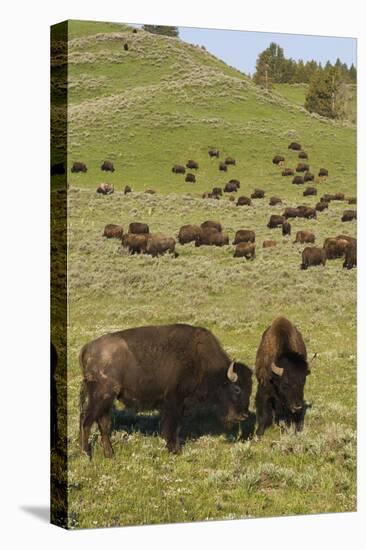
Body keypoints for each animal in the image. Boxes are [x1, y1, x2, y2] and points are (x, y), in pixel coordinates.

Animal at [78, 326, 253, 460]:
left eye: (251, 389)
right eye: (237, 389)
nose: (244, 415)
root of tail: (86, 348)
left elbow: (175, 427)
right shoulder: (174, 402)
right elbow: (172, 426)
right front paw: (175, 450)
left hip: (106, 401)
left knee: (102, 423)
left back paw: (109, 455)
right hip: (101, 397)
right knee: (86, 421)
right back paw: (86, 454)